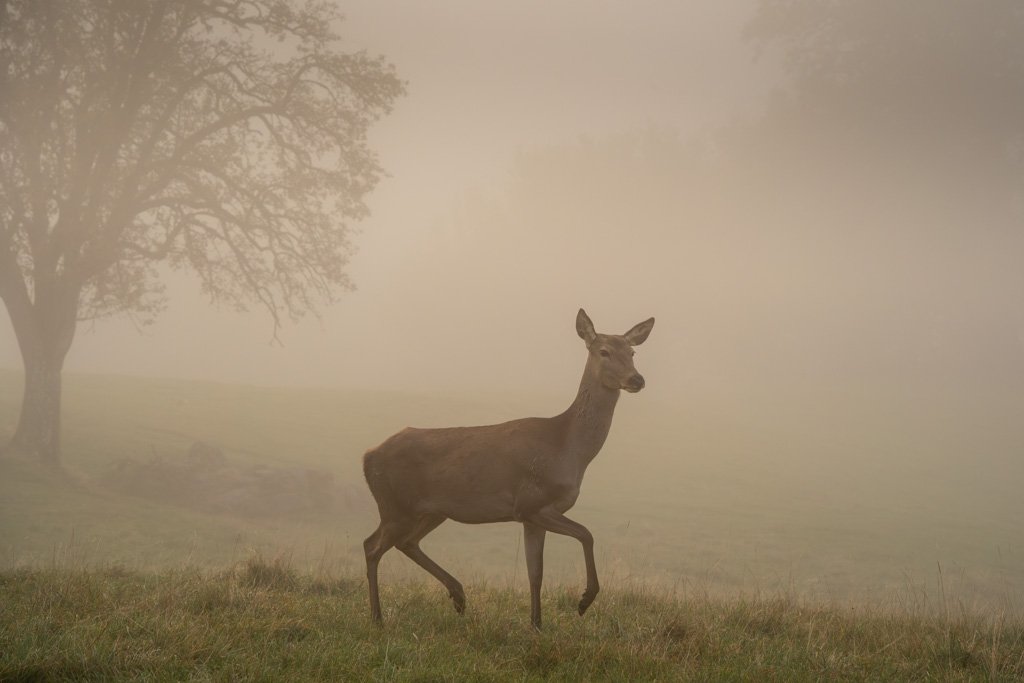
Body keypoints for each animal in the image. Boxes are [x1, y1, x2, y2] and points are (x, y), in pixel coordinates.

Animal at [362, 308, 655, 628]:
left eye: (632, 352)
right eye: (603, 351)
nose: (637, 379)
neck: (568, 448)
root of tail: (368, 455)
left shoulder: (531, 518)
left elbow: (535, 574)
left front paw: (536, 625)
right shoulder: (531, 502)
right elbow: (586, 534)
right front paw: (585, 600)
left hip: (430, 510)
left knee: (405, 542)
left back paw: (458, 595)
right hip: (395, 506)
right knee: (372, 546)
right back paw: (377, 618)